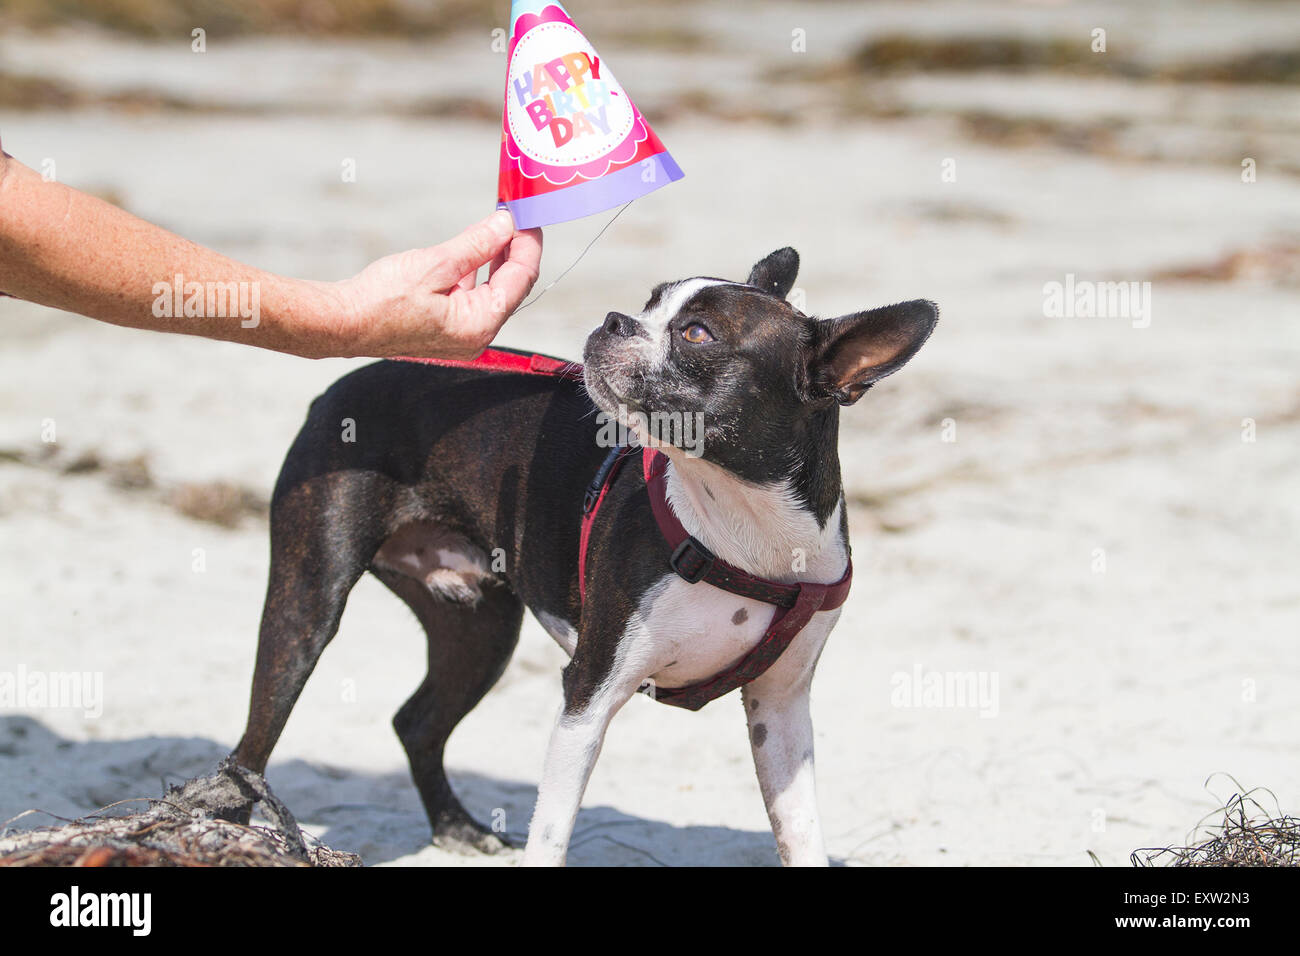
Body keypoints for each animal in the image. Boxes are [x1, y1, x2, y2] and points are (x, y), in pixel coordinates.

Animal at [226, 248, 935, 868]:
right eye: (650, 304)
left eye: (696, 333)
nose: (615, 319)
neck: (744, 525)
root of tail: (347, 381)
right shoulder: (589, 692)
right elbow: (552, 832)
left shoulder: (780, 709)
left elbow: (800, 833)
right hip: (308, 604)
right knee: (251, 749)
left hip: (481, 630)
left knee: (417, 721)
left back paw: (457, 828)